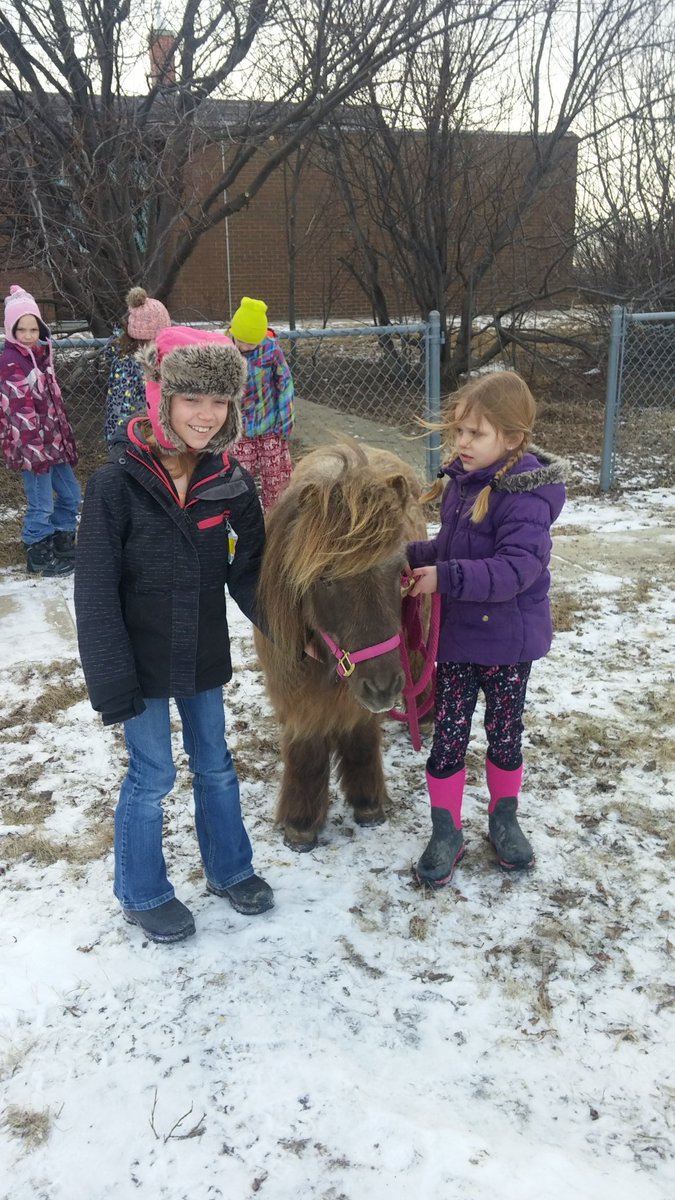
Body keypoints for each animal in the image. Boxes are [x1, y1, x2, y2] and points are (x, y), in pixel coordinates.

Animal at [254, 440, 427, 851]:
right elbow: (307, 753)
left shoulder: (358, 696)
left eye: (398, 571)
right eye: (325, 577)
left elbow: (360, 738)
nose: (383, 686)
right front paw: (301, 823)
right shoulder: (296, 696)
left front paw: (367, 803)